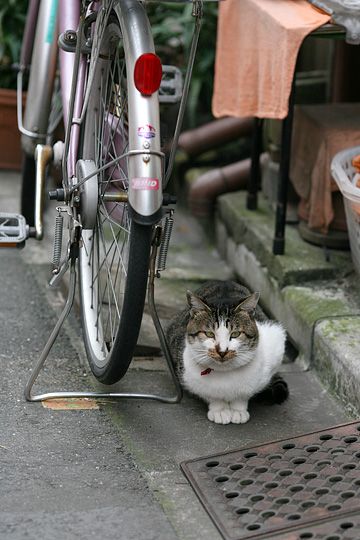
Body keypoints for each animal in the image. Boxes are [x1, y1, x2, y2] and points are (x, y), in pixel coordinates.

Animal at [167, 280, 288, 424]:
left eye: (235, 334)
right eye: (209, 334)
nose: (222, 351)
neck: (225, 374)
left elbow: (243, 396)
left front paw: (238, 410)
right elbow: (211, 396)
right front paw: (219, 410)